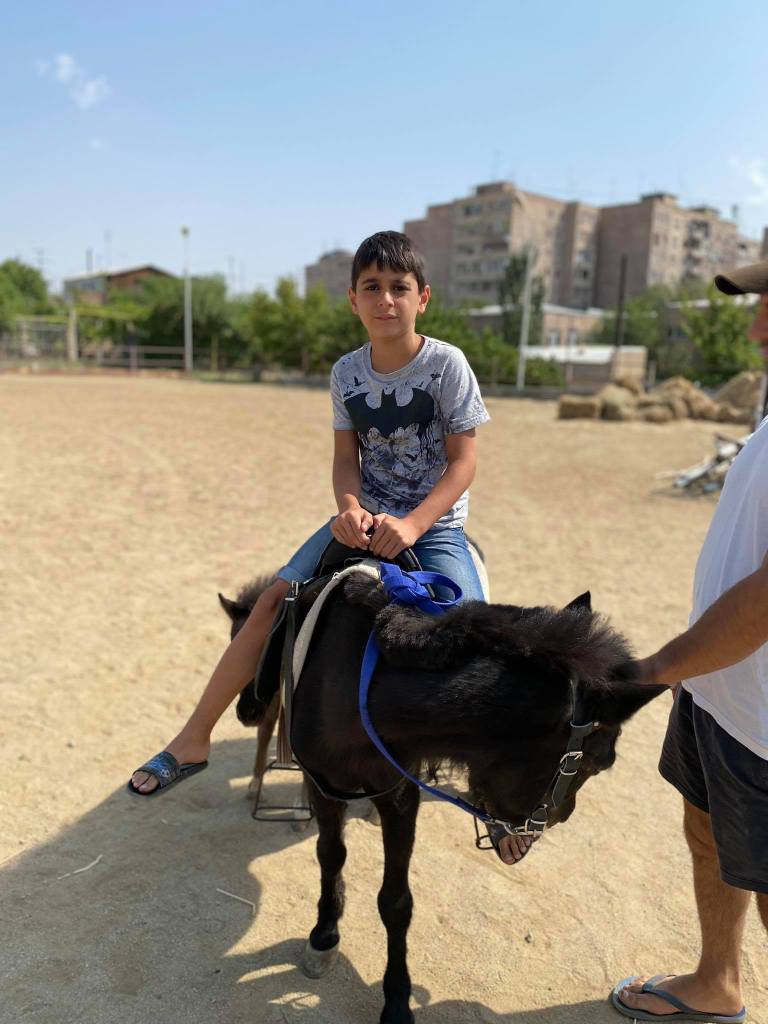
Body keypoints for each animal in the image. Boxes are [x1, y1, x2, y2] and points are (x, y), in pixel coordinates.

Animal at [220, 569, 665, 1024]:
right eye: (599, 762)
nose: (561, 817)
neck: (352, 687)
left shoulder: (398, 794)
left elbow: (395, 901)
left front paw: (397, 1000)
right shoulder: (323, 784)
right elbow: (331, 856)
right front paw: (324, 935)